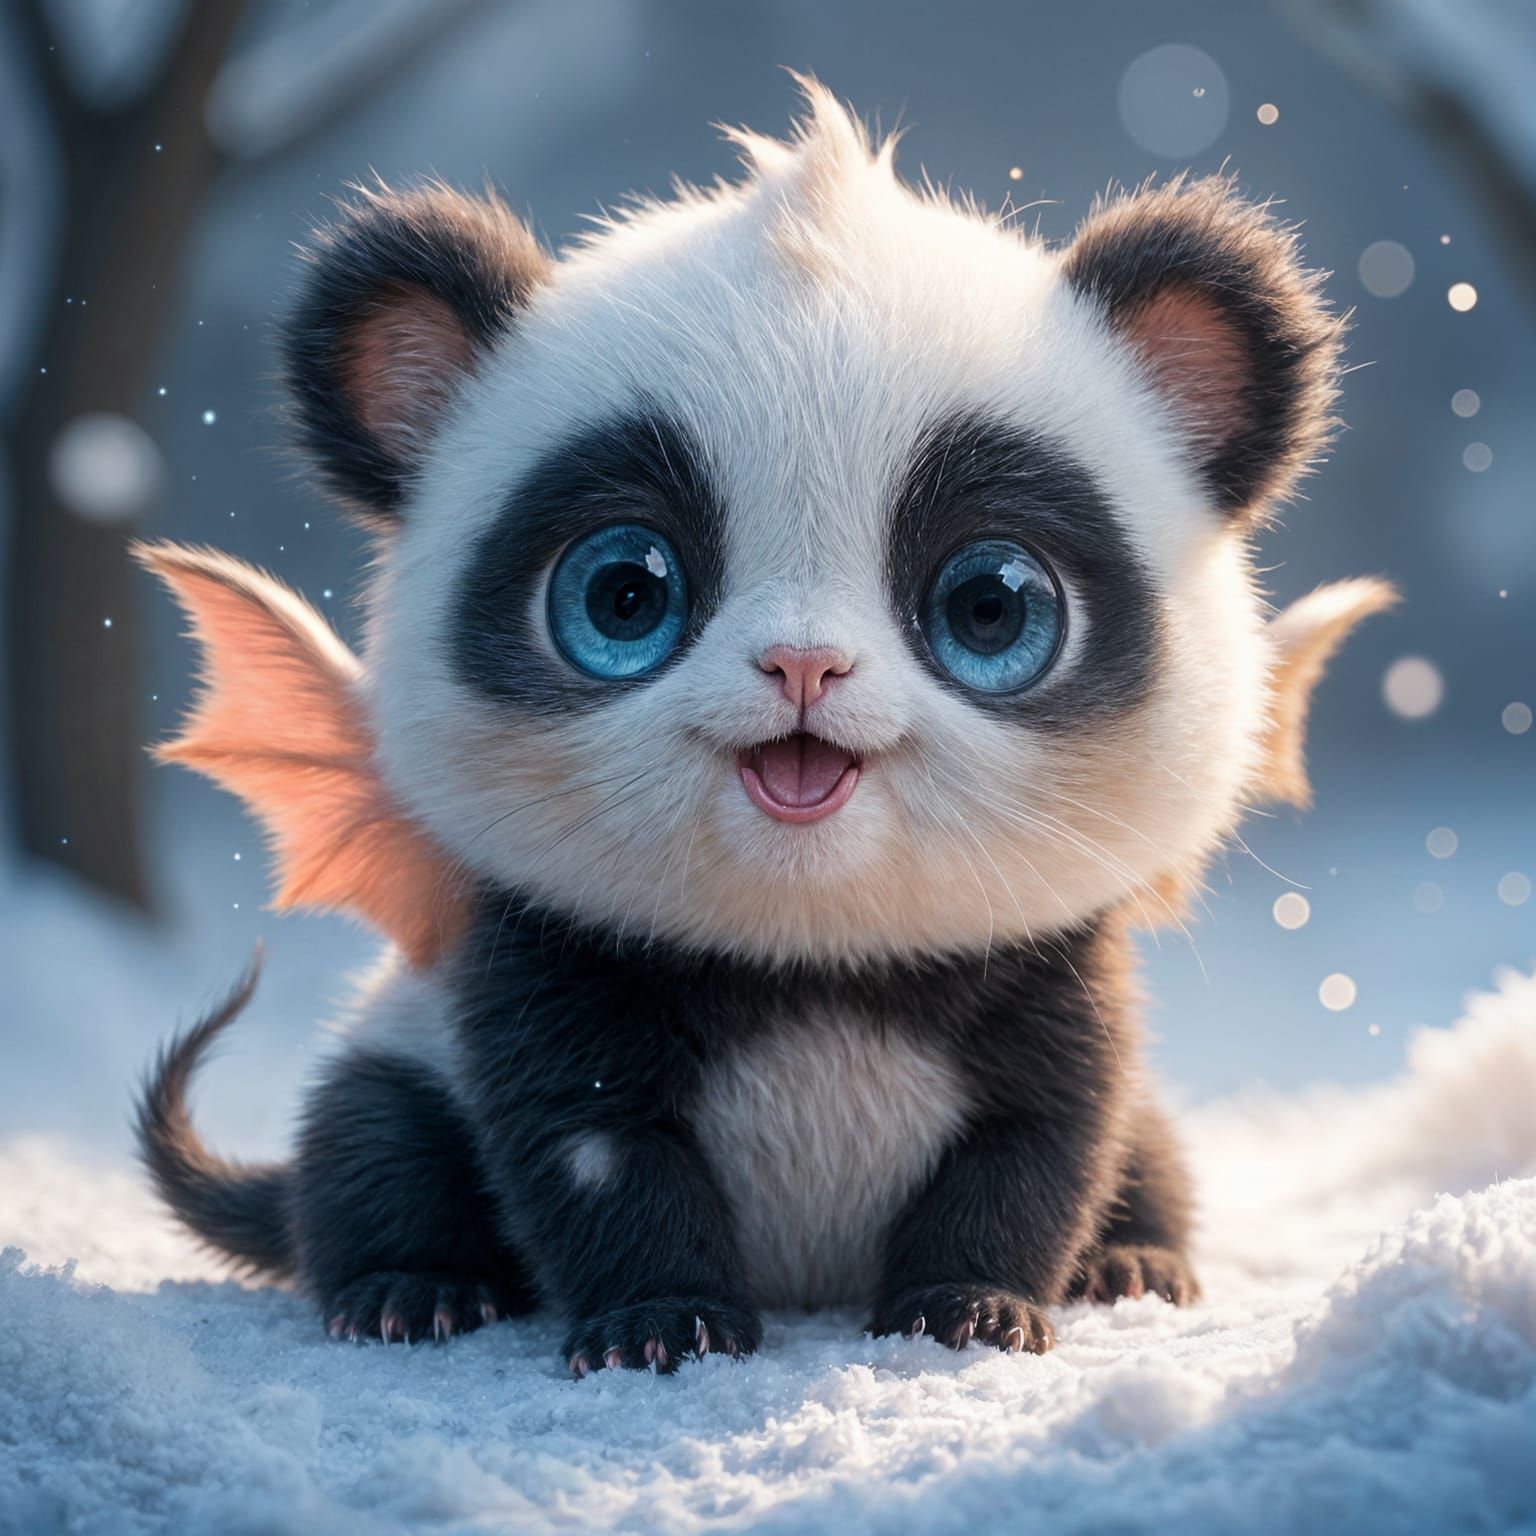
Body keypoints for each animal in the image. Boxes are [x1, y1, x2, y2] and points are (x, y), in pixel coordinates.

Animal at [136, 81, 1393, 1373]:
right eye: (621, 595)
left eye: (991, 606)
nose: (804, 665)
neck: (813, 954)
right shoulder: (545, 957)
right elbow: (592, 1145)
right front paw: (660, 1327)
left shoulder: (1053, 962)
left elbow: (1044, 1137)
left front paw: (974, 1309)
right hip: (401, 1039)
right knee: (368, 1137)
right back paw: (412, 1291)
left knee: (1151, 1151)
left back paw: (1132, 1263)